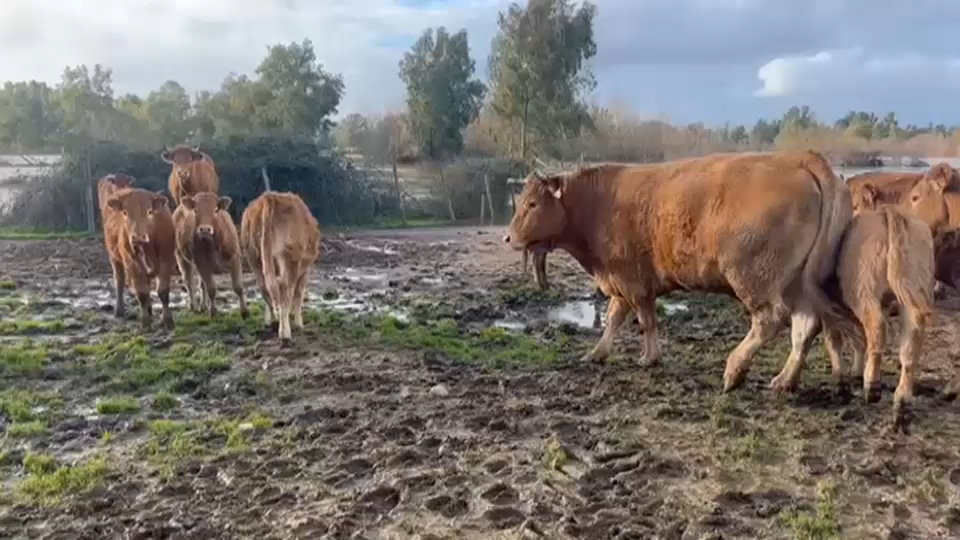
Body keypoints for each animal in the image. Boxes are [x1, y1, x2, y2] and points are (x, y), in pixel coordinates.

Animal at [102, 187, 177, 329]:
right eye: (125, 212)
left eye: (150, 211)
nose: (138, 237)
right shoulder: (132, 261)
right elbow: (141, 292)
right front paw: (145, 320)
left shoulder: (166, 258)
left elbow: (163, 290)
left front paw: (167, 319)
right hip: (114, 258)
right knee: (119, 280)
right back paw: (119, 310)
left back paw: (150, 309)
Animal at [240, 192, 320, 343]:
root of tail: (270, 197)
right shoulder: (305, 270)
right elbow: (298, 293)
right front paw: (298, 323)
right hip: (289, 258)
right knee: (284, 288)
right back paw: (285, 333)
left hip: (254, 257)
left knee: (265, 287)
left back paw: (273, 322)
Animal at [503, 150, 862, 393]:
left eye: (533, 203)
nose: (507, 237)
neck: (596, 204)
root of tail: (799, 157)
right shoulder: (623, 282)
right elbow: (614, 318)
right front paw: (598, 353)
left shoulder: (631, 280)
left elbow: (644, 320)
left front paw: (649, 357)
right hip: (798, 281)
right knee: (806, 325)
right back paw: (785, 380)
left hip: (757, 278)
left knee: (771, 319)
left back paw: (735, 370)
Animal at [820, 207, 935, 432]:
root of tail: (889, 211)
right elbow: (858, 340)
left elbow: (836, 340)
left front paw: (842, 381)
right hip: (912, 290)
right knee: (911, 341)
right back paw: (902, 404)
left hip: (864, 291)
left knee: (877, 327)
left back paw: (871, 386)